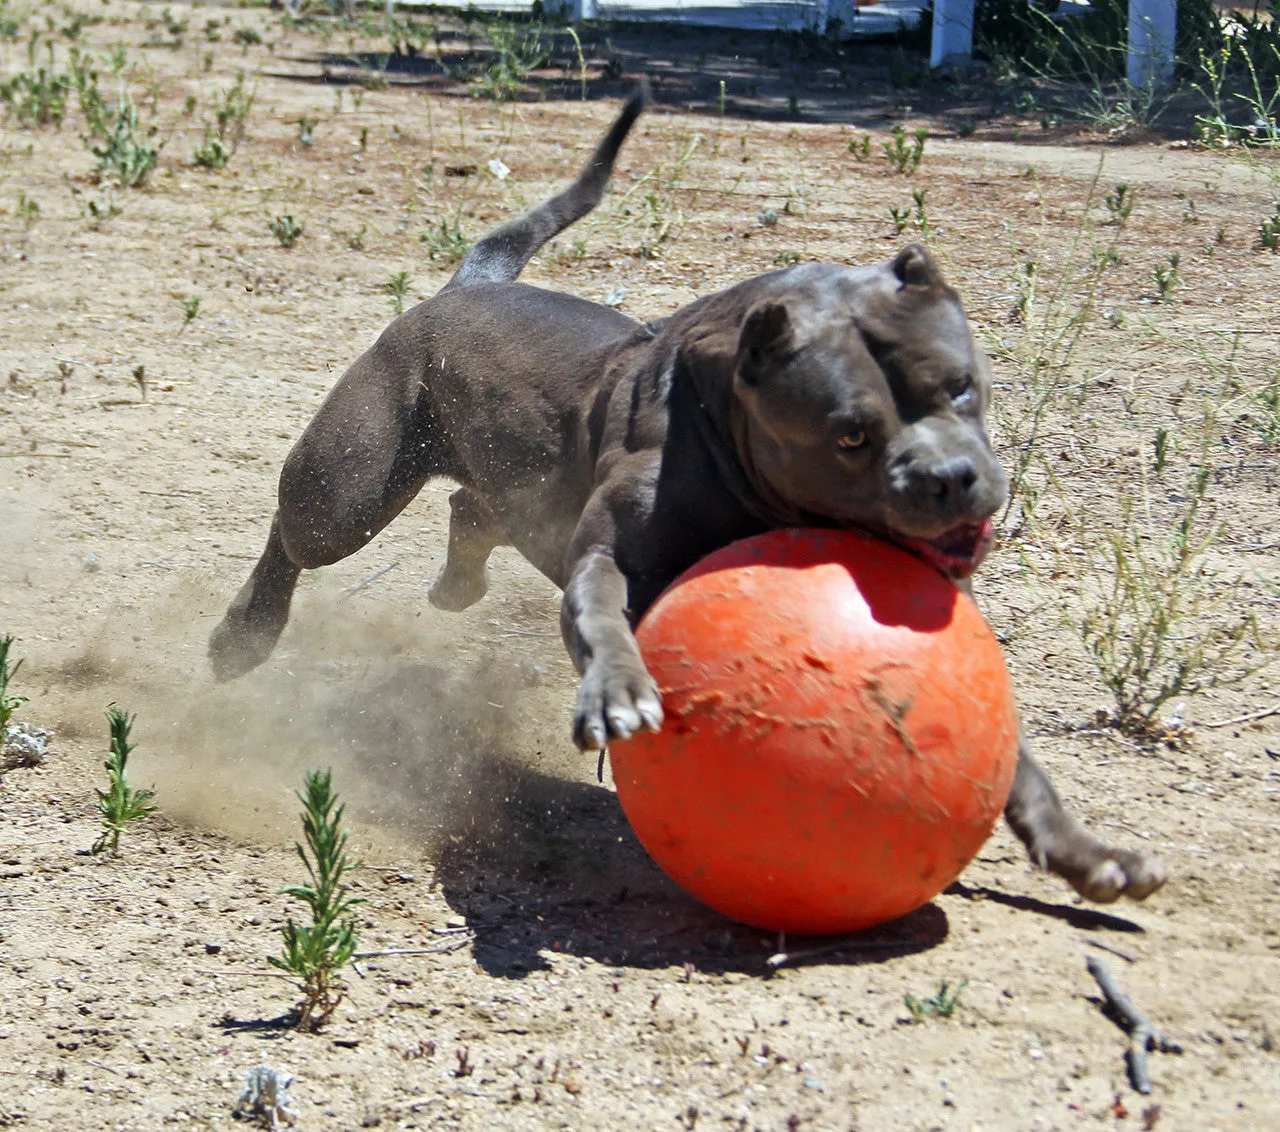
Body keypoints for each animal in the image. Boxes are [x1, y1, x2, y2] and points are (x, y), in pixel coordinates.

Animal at [212, 86, 1172, 901]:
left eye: (962, 388)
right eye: (850, 435)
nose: (952, 479)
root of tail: (468, 285)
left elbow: (1021, 765)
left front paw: (1089, 854)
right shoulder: (606, 559)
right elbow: (602, 613)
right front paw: (619, 690)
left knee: (472, 507)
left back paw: (457, 583)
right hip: (349, 486)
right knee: (293, 538)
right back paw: (244, 633)